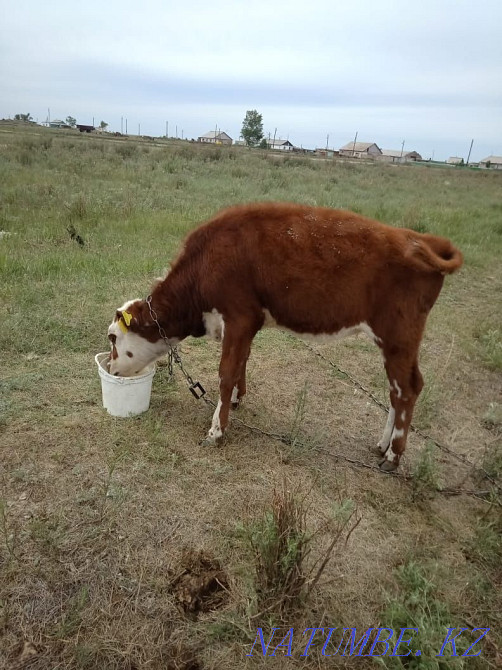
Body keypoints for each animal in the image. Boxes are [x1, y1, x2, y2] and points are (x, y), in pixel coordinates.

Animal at [107, 202, 463, 471]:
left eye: (112, 338)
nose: (109, 369)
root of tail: (418, 238)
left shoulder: (238, 316)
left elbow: (225, 373)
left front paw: (216, 430)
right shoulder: (248, 324)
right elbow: (241, 363)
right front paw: (235, 401)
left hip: (398, 336)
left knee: (408, 389)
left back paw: (393, 455)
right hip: (394, 342)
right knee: (396, 390)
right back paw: (382, 444)